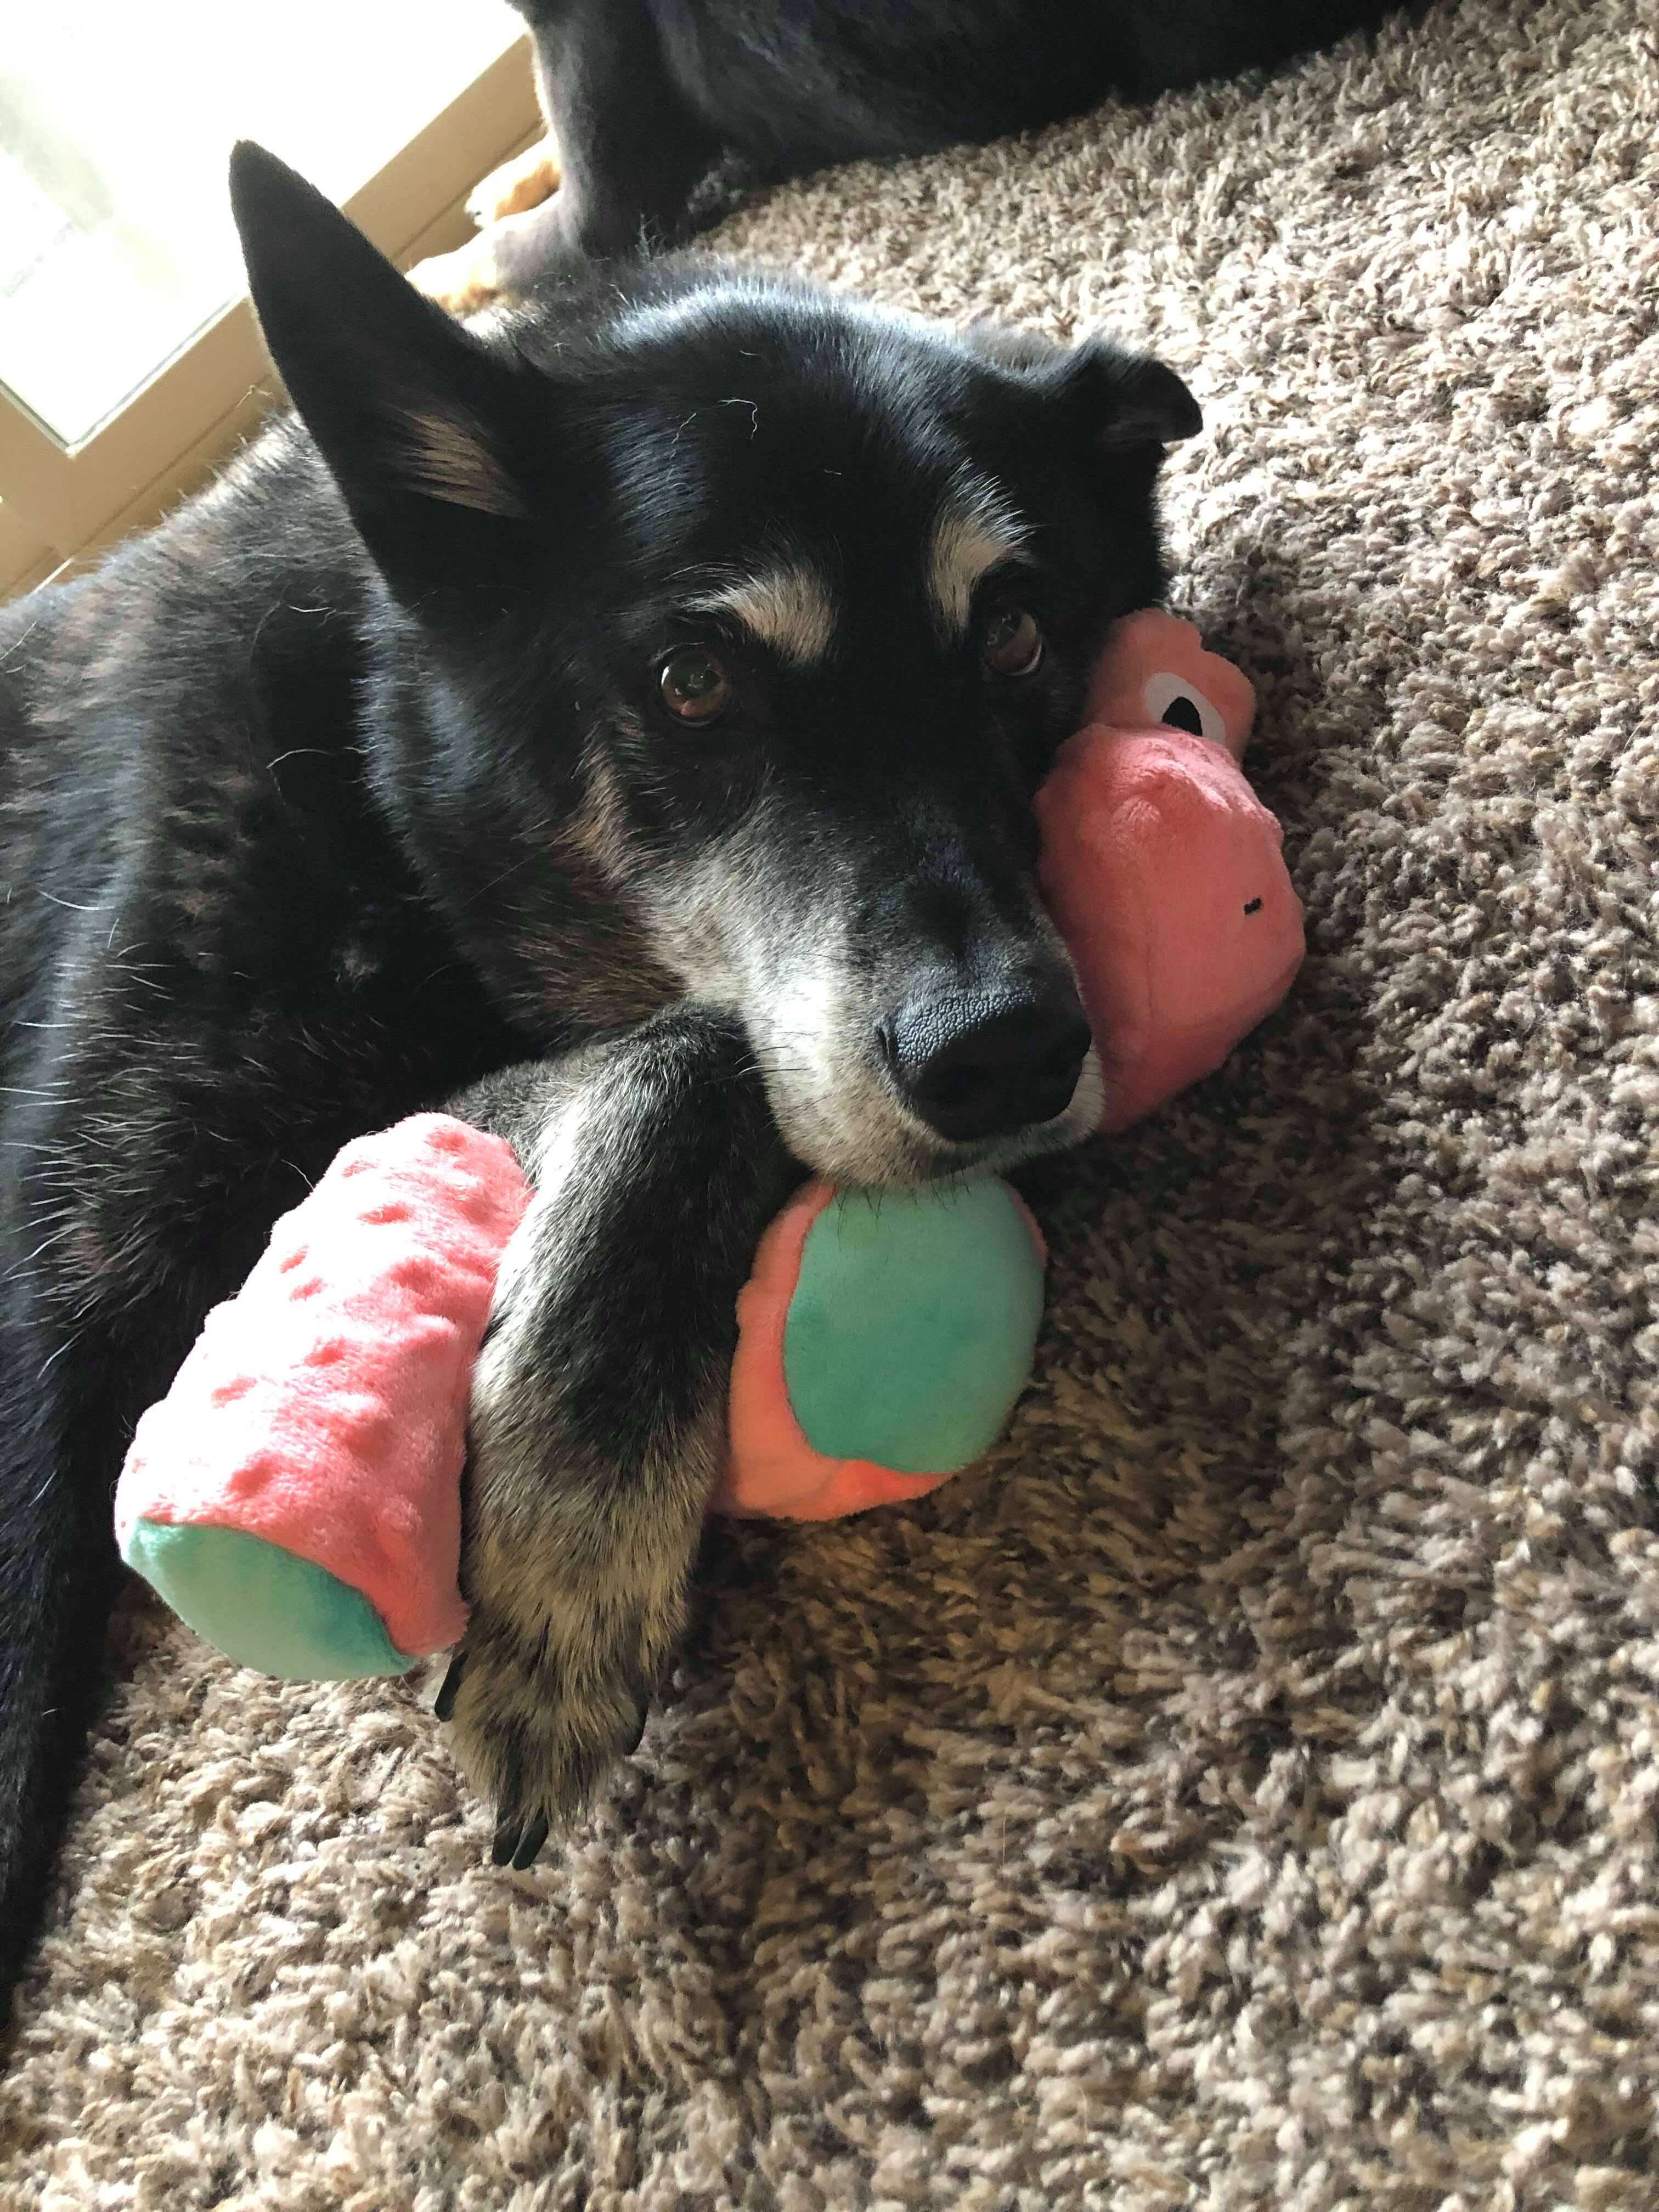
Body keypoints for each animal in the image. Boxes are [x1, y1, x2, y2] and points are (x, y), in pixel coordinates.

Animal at [0, 138, 1203, 2008]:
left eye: (1015, 636)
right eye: (693, 679)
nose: (1010, 1052)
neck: (365, 780)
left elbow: (694, 1051)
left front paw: (569, 1519)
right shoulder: (60, 1277)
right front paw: (576, 1544)